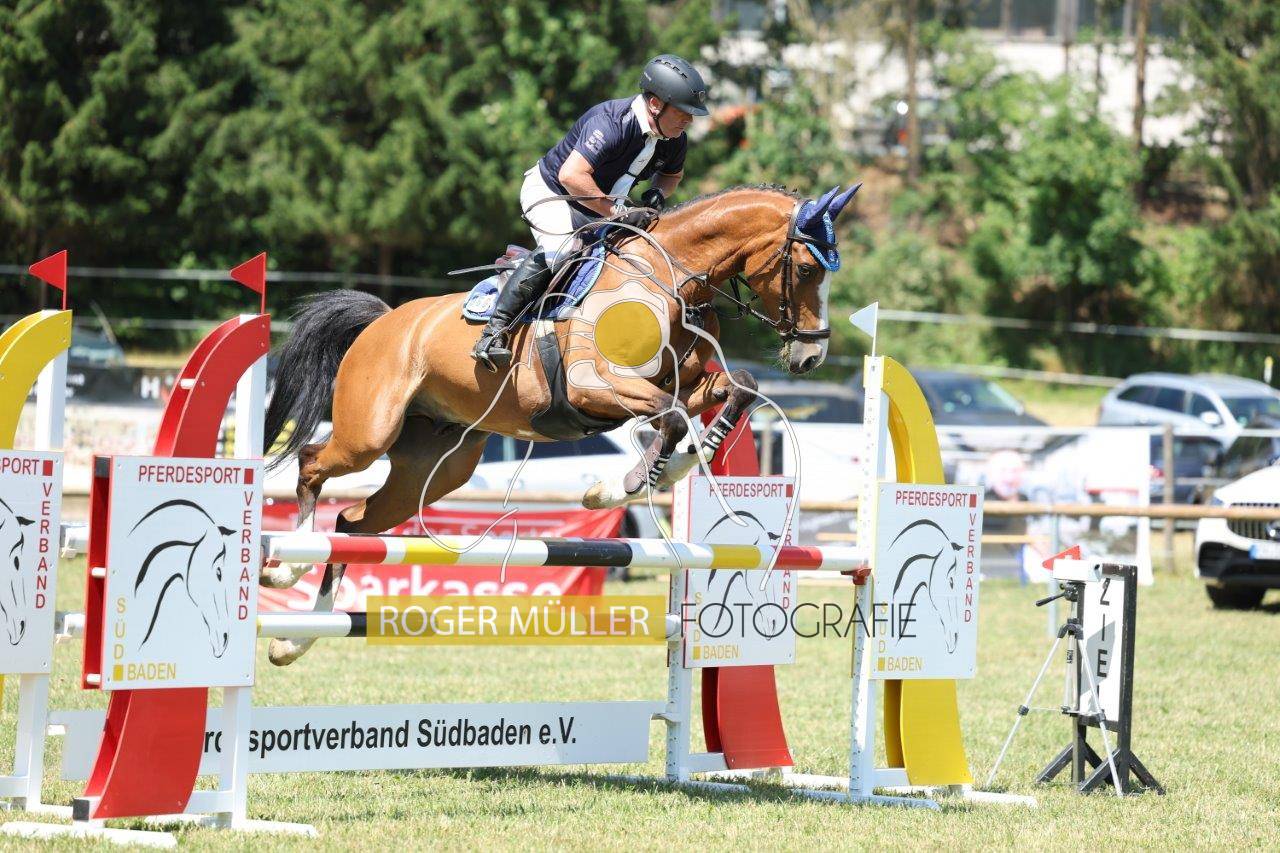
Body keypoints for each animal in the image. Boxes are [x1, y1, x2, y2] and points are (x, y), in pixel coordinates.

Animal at [260, 182, 861, 666]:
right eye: (808, 268)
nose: (811, 357)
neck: (666, 280)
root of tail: (383, 320)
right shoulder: (592, 387)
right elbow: (670, 417)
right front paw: (623, 485)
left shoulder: (684, 382)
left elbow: (737, 388)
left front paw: (687, 459)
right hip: (369, 433)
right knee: (312, 465)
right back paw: (284, 566)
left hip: (435, 469)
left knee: (354, 525)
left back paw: (294, 639)